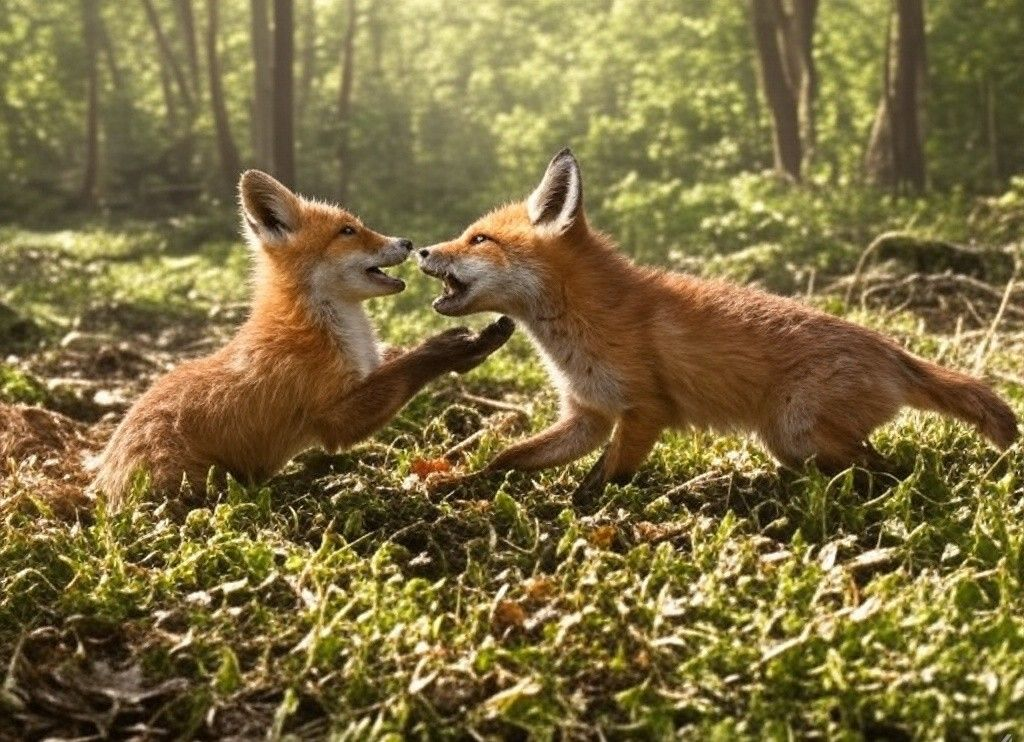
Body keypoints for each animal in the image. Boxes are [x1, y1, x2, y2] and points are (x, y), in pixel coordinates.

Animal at [93, 170, 514, 508]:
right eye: (348, 231)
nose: (408, 242)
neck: (333, 329)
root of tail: (102, 484)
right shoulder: (332, 418)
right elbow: (413, 364)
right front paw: (456, 347)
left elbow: (397, 360)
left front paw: (483, 341)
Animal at [416, 149, 1019, 498]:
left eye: (478, 239)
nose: (420, 248)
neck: (579, 327)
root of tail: (893, 349)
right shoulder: (588, 416)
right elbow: (508, 458)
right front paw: (460, 484)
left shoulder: (644, 411)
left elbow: (603, 481)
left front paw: (579, 513)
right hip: (790, 438)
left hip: (797, 426)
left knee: (887, 468)